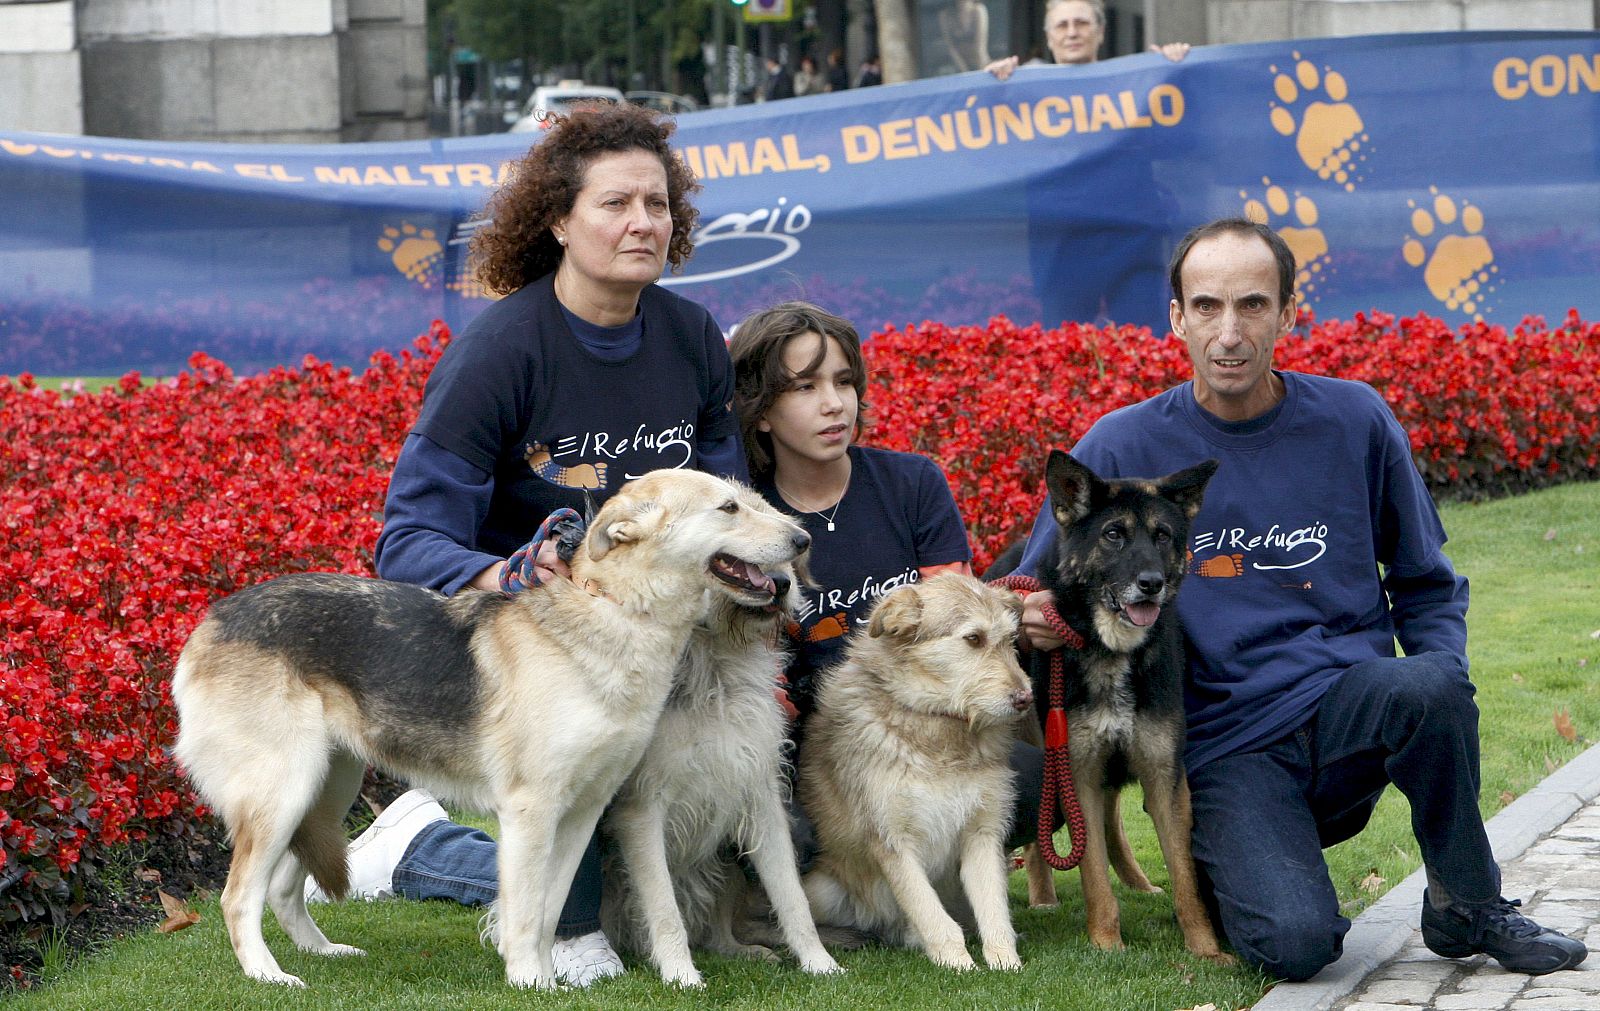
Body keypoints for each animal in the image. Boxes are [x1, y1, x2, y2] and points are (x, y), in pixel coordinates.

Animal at [793, 572, 1030, 966]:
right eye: (974, 638)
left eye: (1011, 640)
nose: (1025, 699)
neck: (938, 727)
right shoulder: (892, 840)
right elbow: (931, 914)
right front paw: (960, 965)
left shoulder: (983, 832)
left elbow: (994, 912)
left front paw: (1005, 964)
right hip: (820, 888)